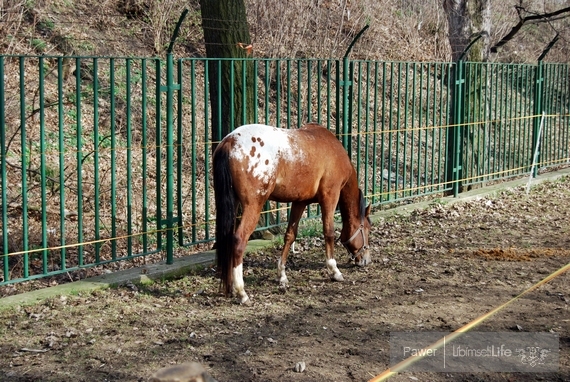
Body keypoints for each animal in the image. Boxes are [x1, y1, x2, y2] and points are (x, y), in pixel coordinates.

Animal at [211, 123, 370, 304]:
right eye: (367, 230)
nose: (366, 259)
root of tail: (230, 141)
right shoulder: (330, 196)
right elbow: (329, 232)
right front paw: (334, 270)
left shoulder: (299, 202)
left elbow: (290, 235)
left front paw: (282, 275)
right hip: (254, 206)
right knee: (238, 240)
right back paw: (242, 292)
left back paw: (230, 286)